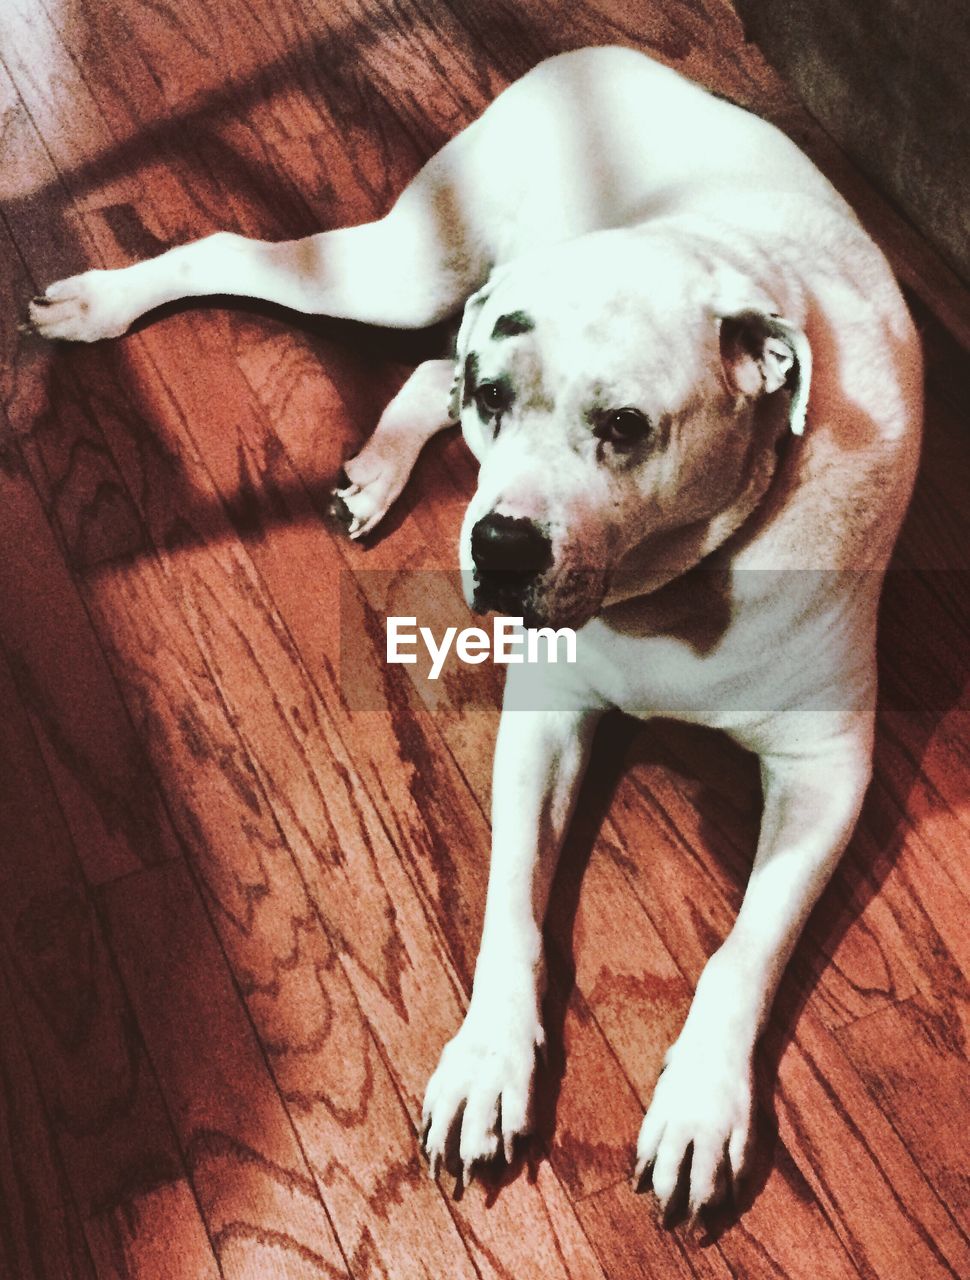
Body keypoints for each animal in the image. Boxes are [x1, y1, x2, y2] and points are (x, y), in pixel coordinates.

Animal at [28, 47, 926, 1218]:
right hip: (406, 267)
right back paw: (105, 300)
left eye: (626, 426)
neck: (674, 588)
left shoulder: (827, 772)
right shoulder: (544, 720)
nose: (497, 544)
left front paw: (700, 1102)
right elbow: (511, 906)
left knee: (421, 372)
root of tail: (598, 57)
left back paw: (376, 471)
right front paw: (488, 1062)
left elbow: (747, 946)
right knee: (269, 271)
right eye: (502, 396)